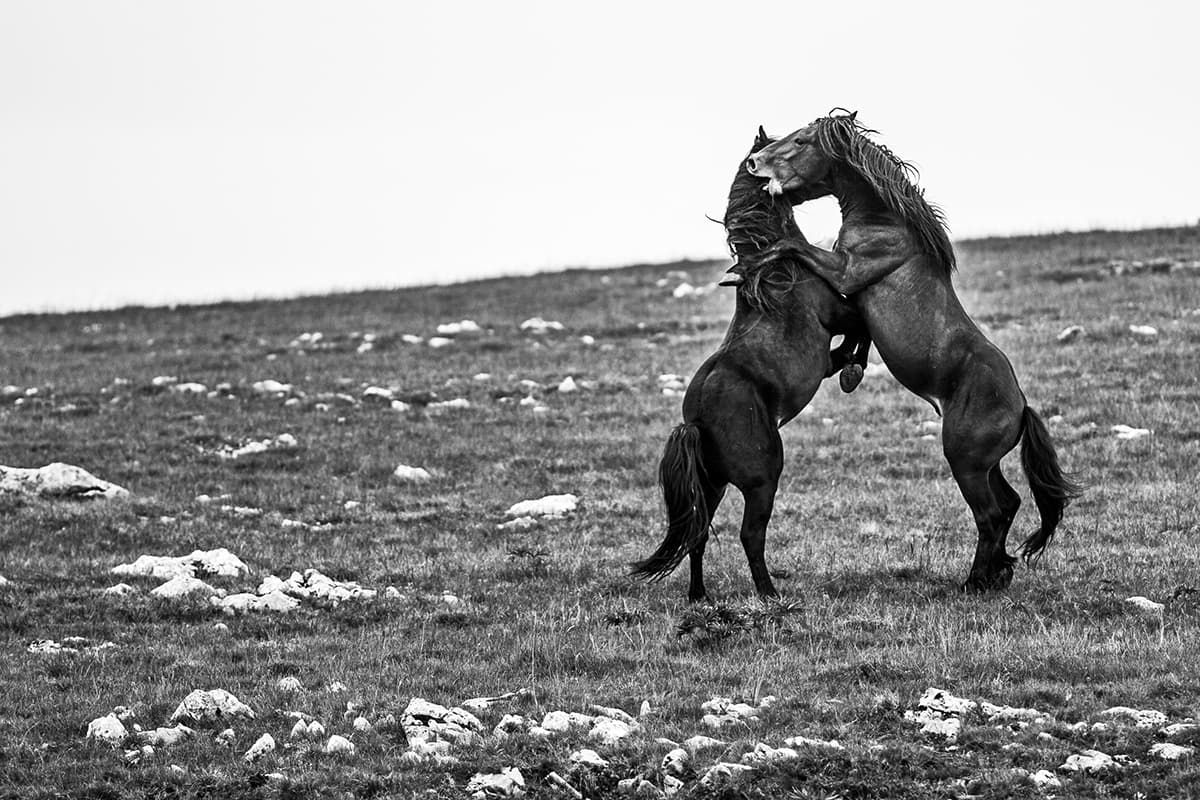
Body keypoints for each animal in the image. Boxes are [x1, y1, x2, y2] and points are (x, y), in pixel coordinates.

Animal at [631, 128, 871, 602]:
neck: (777, 274)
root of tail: (696, 421)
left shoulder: (825, 356)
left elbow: (848, 350)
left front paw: (851, 369)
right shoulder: (841, 315)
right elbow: (862, 331)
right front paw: (854, 372)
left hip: (712, 485)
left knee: (697, 535)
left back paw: (700, 596)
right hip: (761, 482)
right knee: (749, 535)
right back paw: (769, 594)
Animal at [744, 110, 1082, 592]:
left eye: (802, 140)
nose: (754, 164)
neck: (886, 222)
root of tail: (1021, 407)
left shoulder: (846, 273)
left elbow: (791, 246)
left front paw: (754, 264)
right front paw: (850, 369)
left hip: (965, 462)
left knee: (990, 514)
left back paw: (975, 582)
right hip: (985, 464)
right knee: (1009, 505)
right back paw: (998, 573)